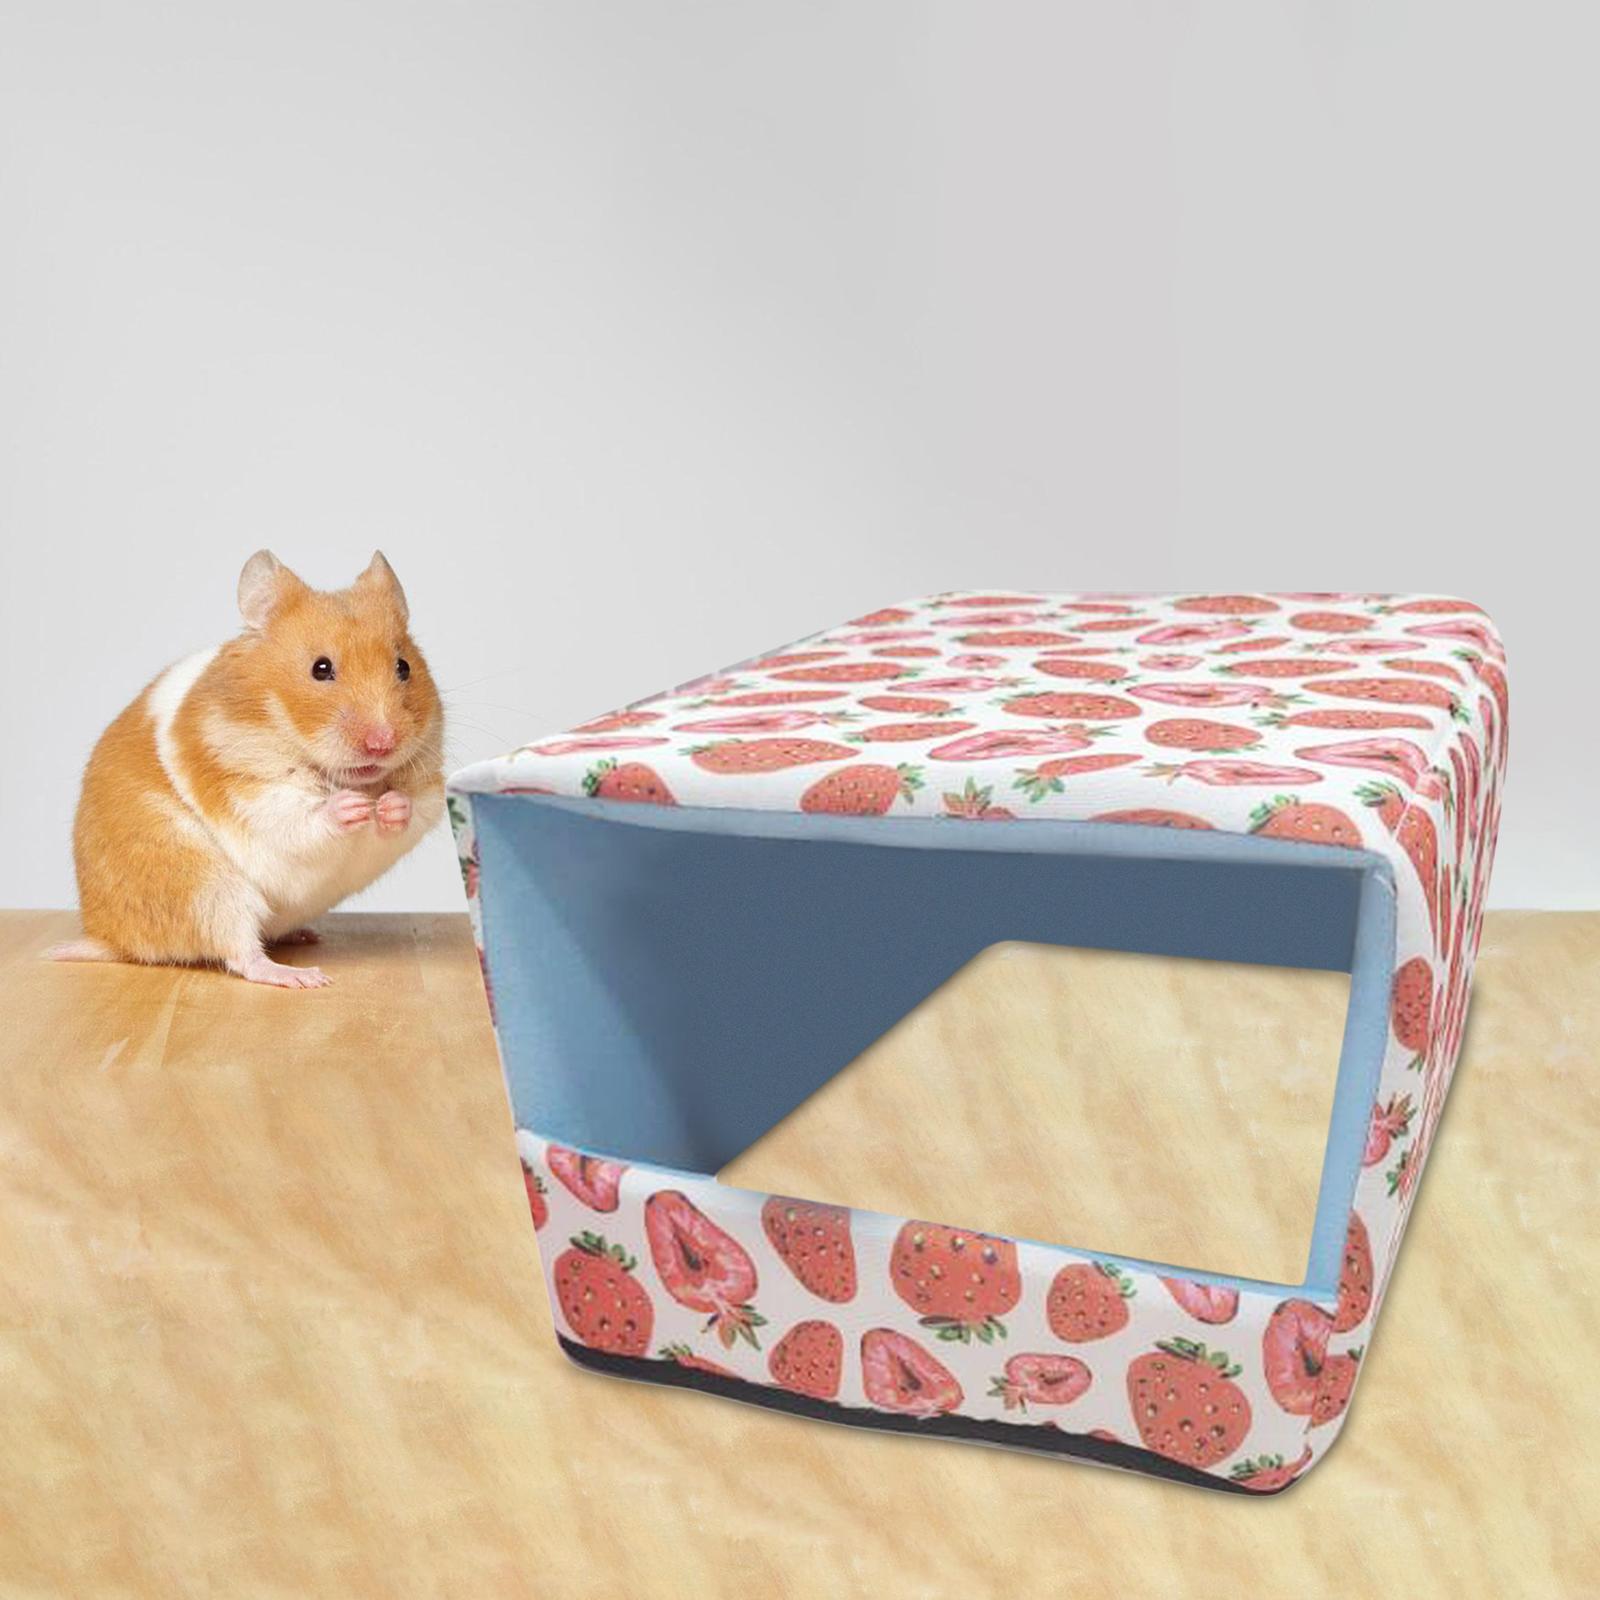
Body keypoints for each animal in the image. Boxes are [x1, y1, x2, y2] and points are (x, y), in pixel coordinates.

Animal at [49, 550, 445, 989]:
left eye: (404, 667)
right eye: (321, 668)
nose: (383, 742)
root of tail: (109, 937)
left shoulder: (429, 790)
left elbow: (414, 809)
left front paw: (391, 805)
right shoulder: (251, 793)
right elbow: (300, 817)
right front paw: (351, 807)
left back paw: (304, 936)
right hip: (206, 890)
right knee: (242, 955)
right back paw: (303, 978)